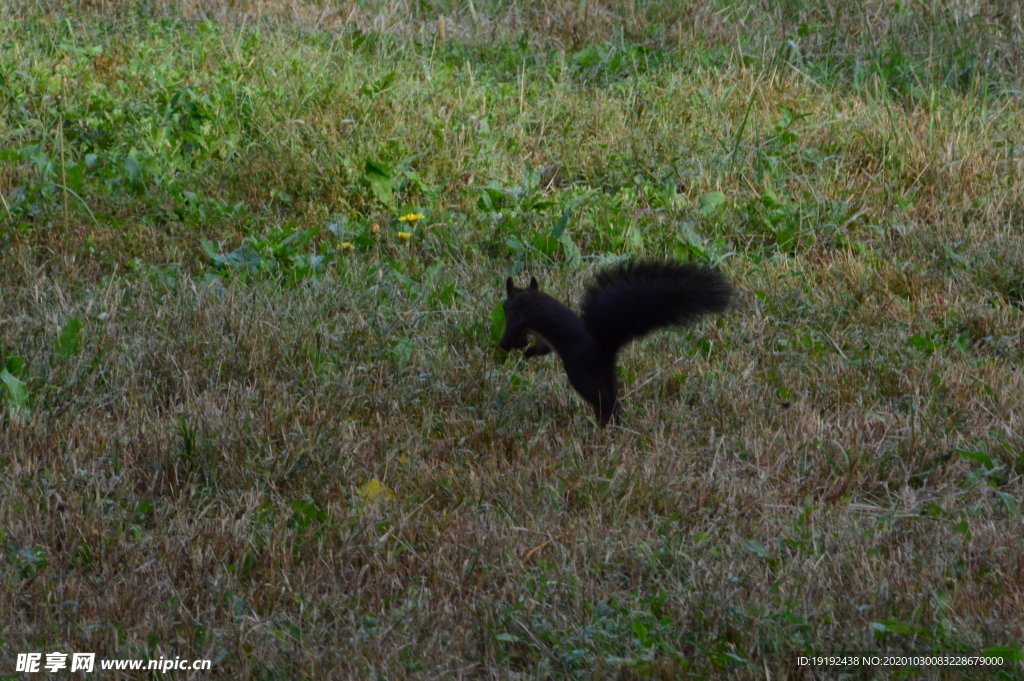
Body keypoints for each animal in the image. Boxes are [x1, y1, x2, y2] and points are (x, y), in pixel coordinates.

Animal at [499, 260, 733, 426]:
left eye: (504, 306)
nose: (503, 307)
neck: (529, 296)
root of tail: (603, 349)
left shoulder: (518, 317)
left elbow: (512, 335)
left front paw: (505, 345)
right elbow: (542, 347)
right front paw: (528, 352)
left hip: (581, 374)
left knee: (603, 399)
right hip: (606, 375)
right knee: (611, 398)